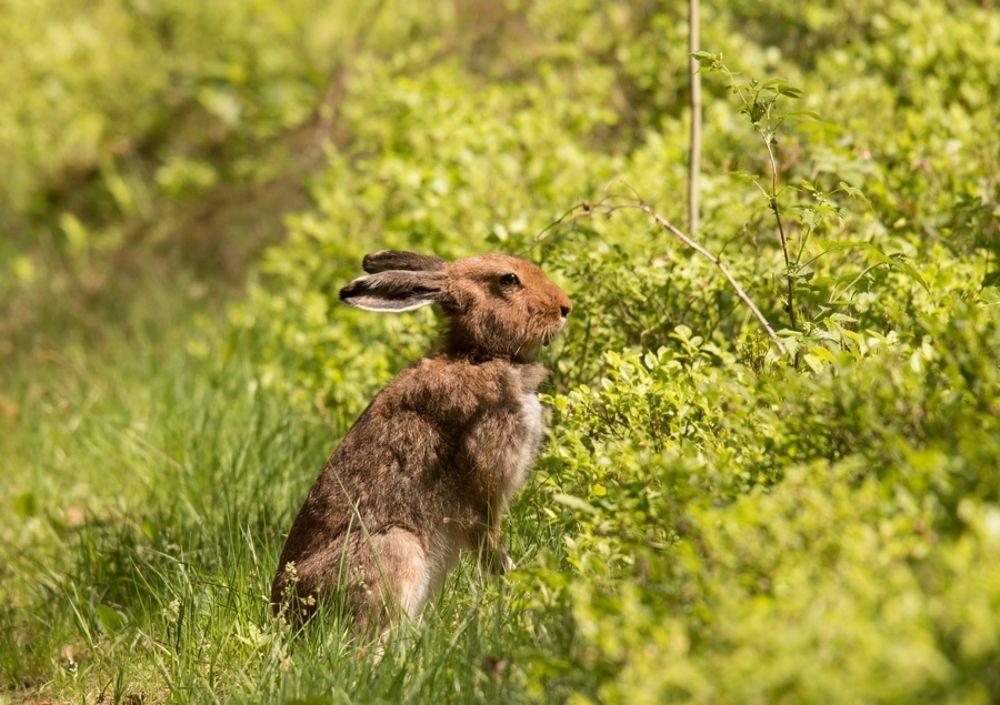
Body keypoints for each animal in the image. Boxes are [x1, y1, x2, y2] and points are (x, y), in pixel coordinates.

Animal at [270, 250, 571, 632]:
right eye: (509, 280)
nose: (565, 307)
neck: (480, 354)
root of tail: (284, 611)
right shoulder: (484, 484)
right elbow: (489, 540)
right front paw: (518, 588)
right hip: (396, 547)